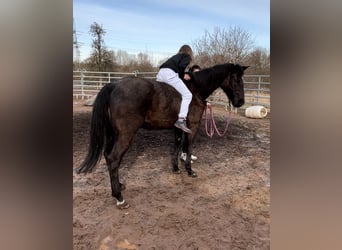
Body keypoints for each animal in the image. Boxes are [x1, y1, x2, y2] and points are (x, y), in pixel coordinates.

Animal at [77, 63, 248, 209]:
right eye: (236, 79)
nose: (240, 102)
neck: (195, 90)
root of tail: (113, 85)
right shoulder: (193, 126)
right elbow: (188, 148)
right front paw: (190, 171)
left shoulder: (178, 127)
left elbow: (177, 146)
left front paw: (176, 168)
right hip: (125, 134)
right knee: (113, 159)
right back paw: (119, 198)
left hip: (113, 134)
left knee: (107, 156)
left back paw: (119, 186)